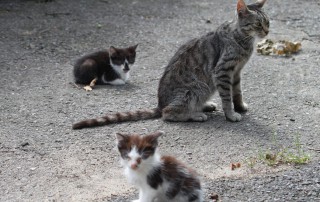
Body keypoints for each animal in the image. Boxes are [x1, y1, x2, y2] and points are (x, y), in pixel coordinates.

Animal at [72, 0, 268, 129]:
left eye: (268, 22)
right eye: (258, 24)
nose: (267, 31)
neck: (243, 39)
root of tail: (160, 104)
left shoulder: (236, 72)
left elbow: (237, 92)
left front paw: (239, 107)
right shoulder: (223, 71)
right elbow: (227, 97)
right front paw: (230, 114)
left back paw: (204, 106)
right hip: (198, 87)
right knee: (168, 113)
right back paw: (195, 115)